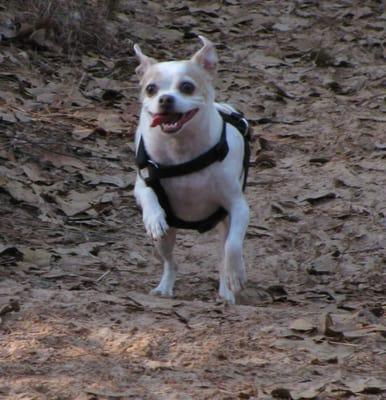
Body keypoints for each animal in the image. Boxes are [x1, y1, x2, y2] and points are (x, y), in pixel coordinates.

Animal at [133, 36, 250, 304]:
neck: (181, 149)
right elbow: (148, 195)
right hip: (165, 241)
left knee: (223, 256)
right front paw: (153, 217)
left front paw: (236, 274)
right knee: (171, 263)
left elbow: (233, 247)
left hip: (225, 225)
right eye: (150, 89)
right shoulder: (142, 182)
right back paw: (164, 287)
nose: (165, 98)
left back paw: (226, 291)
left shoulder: (238, 207)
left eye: (187, 87)